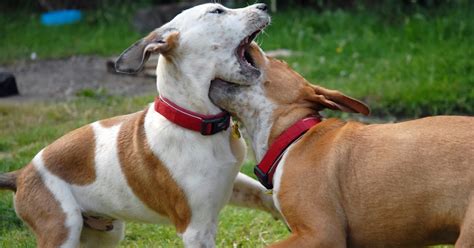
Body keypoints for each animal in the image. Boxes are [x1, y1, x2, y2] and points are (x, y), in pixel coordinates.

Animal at [0, 3, 278, 248]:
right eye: (217, 11)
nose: (264, 6)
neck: (195, 121)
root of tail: (21, 174)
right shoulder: (196, 229)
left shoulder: (232, 183)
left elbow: (266, 197)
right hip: (63, 229)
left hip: (105, 233)